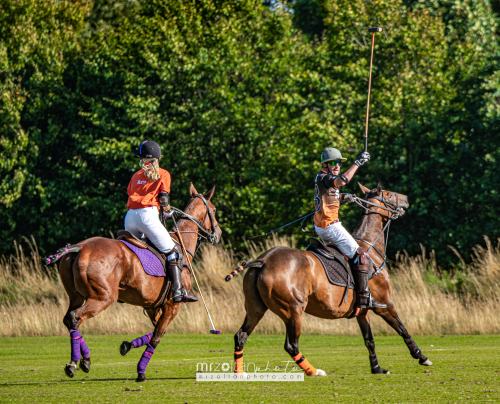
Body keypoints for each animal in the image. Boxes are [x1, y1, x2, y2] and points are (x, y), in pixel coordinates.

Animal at [44, 185, 221, 380]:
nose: (218, 234)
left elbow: (155, 331)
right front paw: (141, 371)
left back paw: (85, 361)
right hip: (103, 298)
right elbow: (157, 336)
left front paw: (127, 345)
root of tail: (78, 247)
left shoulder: (151, 306)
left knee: (68, 318)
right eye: (214, 210)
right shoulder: (172, 306)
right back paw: (75, 363)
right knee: (75, 317)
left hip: (76, 296)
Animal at [232, 185, 432, 378]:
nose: (406, 199)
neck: (369, 246)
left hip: (256, 307)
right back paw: (314, 371)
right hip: (293, 309)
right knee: (291, 345)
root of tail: (263, 261)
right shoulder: (384, 303)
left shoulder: (362, 311)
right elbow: (402, 329)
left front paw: (377, 368)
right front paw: (421, 357)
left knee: (240, 336)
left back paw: (239, 373)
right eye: (388, 194)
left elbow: (369, 340)